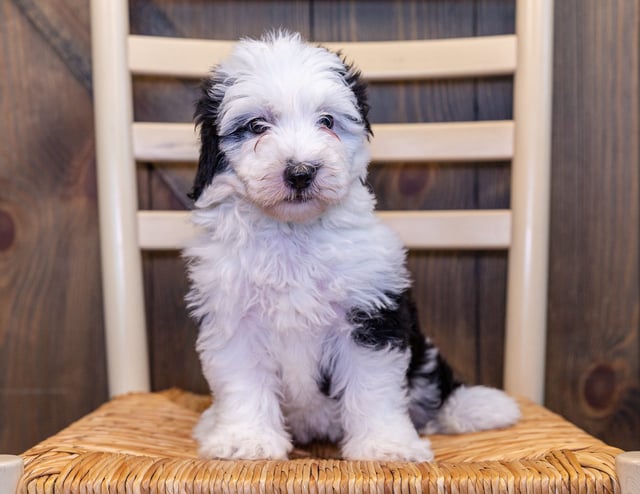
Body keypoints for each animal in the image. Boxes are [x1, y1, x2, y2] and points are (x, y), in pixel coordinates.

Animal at [181, 31, 520, 464]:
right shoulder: (232, 317)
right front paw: (247, 439)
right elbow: (243, 383)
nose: (301, 172)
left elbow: (373, 388)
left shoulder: (372, 312)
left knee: (435, 384)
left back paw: (478, 407)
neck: (294, 234)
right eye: (257, 126)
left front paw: (385, 445)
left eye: (327, 122)